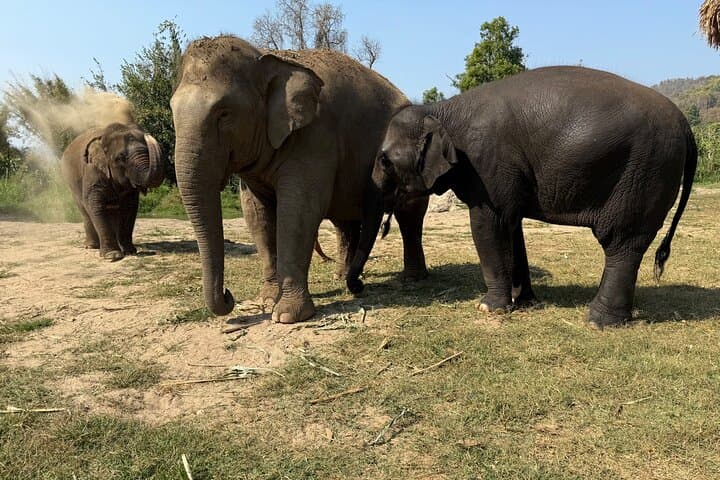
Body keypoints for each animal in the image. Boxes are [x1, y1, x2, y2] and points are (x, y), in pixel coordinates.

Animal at [61, 122, 164, 261]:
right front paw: (112, 256)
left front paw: (130, 251)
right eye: (121, 157)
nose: (148, 135)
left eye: (147, 151)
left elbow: (129, 208)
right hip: (71, 184)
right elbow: (96, 205)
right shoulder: (92, 171)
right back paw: (91, 246)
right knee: (85, 212)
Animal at [170, 35, 428, 323]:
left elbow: (299, 208)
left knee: (410, 216)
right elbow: (257, 214)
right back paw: (342, 276)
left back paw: (412, 280)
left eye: (224, 113)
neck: (269, 58)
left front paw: (285, 316)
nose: (228, 296)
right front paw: (267, 300)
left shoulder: (315, 135)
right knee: (345, 223)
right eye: (171, 109)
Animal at [347, 66, 696, 328]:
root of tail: (686, 125)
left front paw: (489, 308)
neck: (442, 109)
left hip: (643, 173)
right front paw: (524, 301)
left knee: (621, 243)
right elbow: (512, 226)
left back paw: (598, 322)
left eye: (384, 161)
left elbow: (487, 224)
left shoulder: (487, 165)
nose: (359, 289)